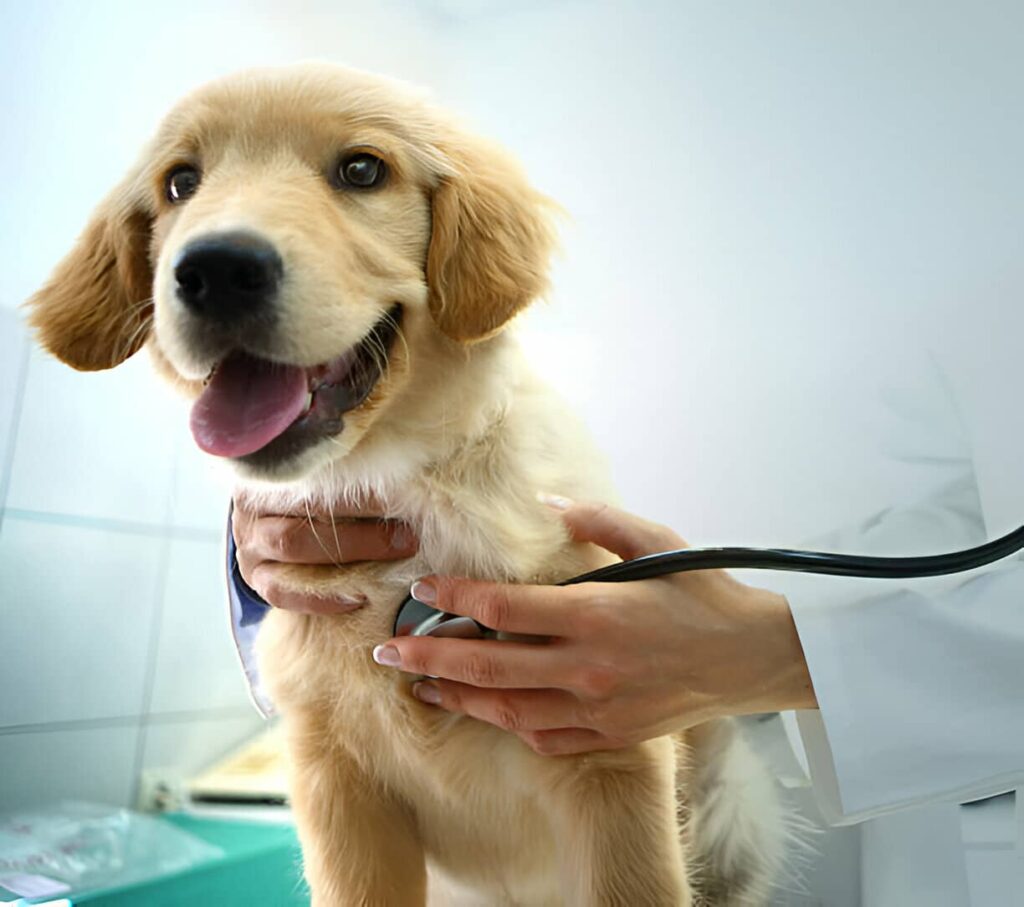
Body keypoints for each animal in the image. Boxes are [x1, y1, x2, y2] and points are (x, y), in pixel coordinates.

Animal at [29, 65, 782, 907]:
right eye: (180, 182)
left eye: (363, 170)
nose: (216, 269)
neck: (400, 484)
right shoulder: (335, 786)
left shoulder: (614, 763)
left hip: (731, 806)